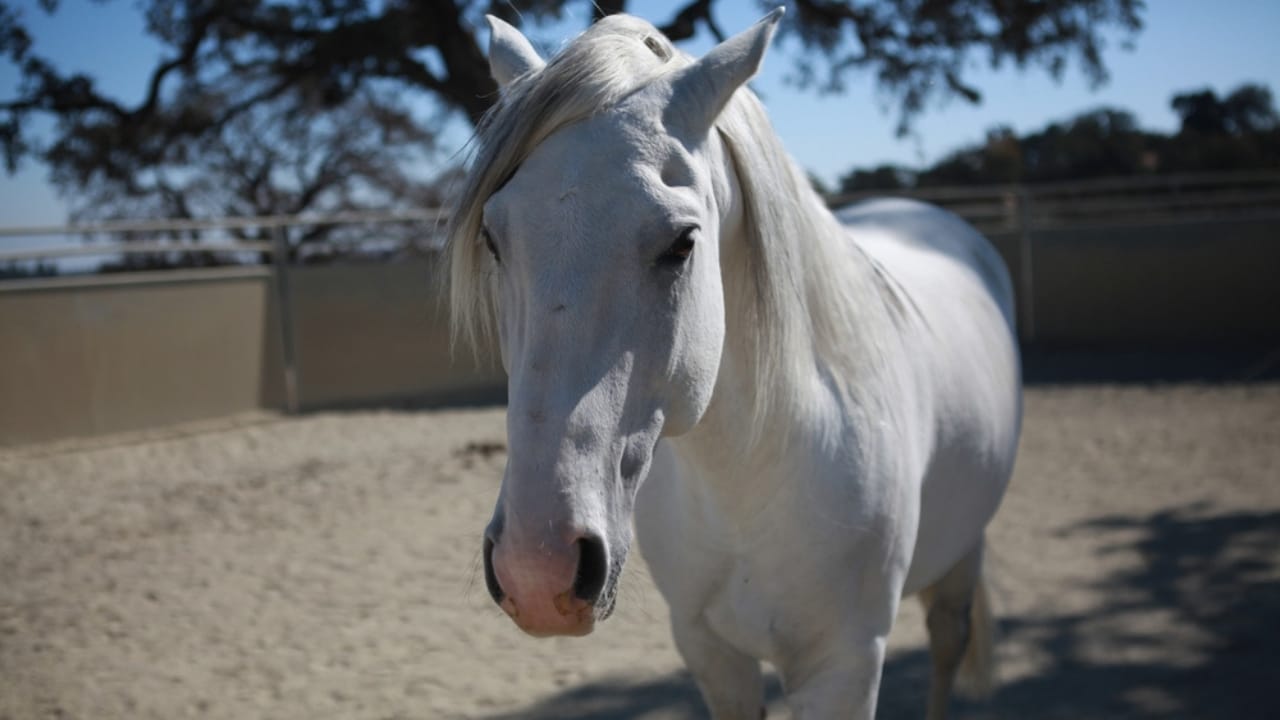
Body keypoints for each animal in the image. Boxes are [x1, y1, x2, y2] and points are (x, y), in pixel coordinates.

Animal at [445, 9, 1021, 719]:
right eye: (493, 235)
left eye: (682, 241)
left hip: (961, 559)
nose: (536, 568)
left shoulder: (846, 667)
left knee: (947, 644)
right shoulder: (711, 653)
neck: (749, 478)